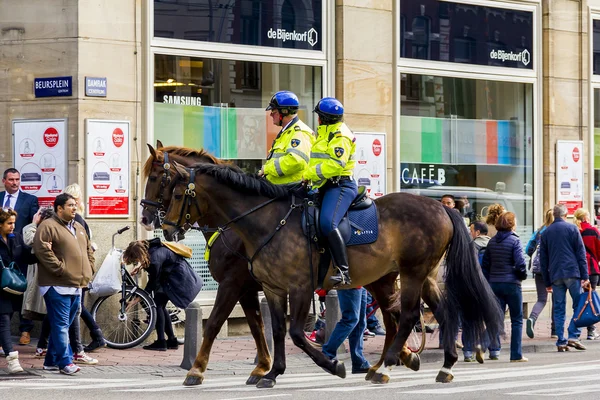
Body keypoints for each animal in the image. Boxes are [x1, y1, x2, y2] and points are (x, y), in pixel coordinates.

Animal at [139, 142, 270, 386]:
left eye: (153, 177)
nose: (144, 218)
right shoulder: (246, 288)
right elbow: (257, 326)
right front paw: (262, 367)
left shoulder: (232, 284)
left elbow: (213, 323)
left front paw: (196, 370)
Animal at [162, 161, 504, 390]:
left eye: (176, 195)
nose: (164, 228)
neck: (265, 221)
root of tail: (443, 207)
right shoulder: (272, 289)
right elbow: (276, 330)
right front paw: (271, 373)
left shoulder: (296, 287)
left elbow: (295, 333)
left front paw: (333, 364)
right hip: (423, 276)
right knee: (441, 312)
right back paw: (443, 365)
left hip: (412, 274)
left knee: (407, 316)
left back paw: (387, 365)